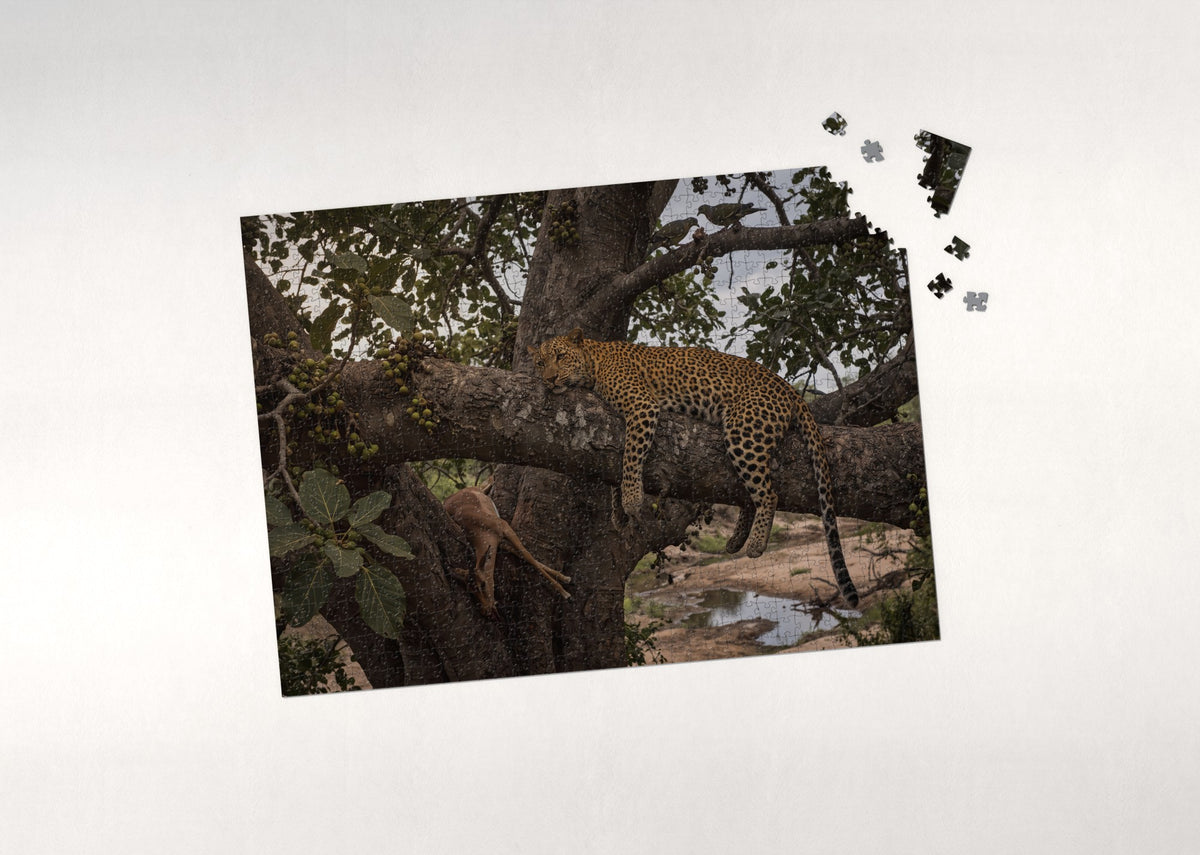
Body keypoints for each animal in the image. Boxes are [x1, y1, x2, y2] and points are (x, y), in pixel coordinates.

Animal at [529, 327, 859, 608]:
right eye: (540, 362)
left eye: (560, 357)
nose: (549, 379)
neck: (594, 362)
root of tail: (788, 387)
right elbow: (615, 466)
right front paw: (619, 513)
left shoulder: (642, 406)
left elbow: (630, 456)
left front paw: (632, 499)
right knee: (751, 492)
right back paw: (736, 539)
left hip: (743, 431)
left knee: (769, 494)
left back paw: (754, 545)